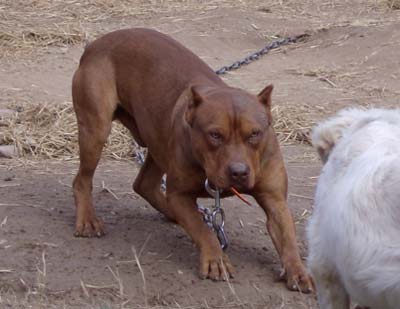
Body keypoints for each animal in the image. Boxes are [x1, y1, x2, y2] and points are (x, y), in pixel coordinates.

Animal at [72, 27, 312, 292]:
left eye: (254, 134)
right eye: (215, 135)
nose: (239, 172)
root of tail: (96, 44)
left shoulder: (275, 201)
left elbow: (288, 239)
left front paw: (298, 271)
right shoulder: (180, 195)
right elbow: (202, 231)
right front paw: (216, 259)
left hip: (157, 141)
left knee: (144, 184)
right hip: (95, 130)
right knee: (83, 180)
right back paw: (88, 220)